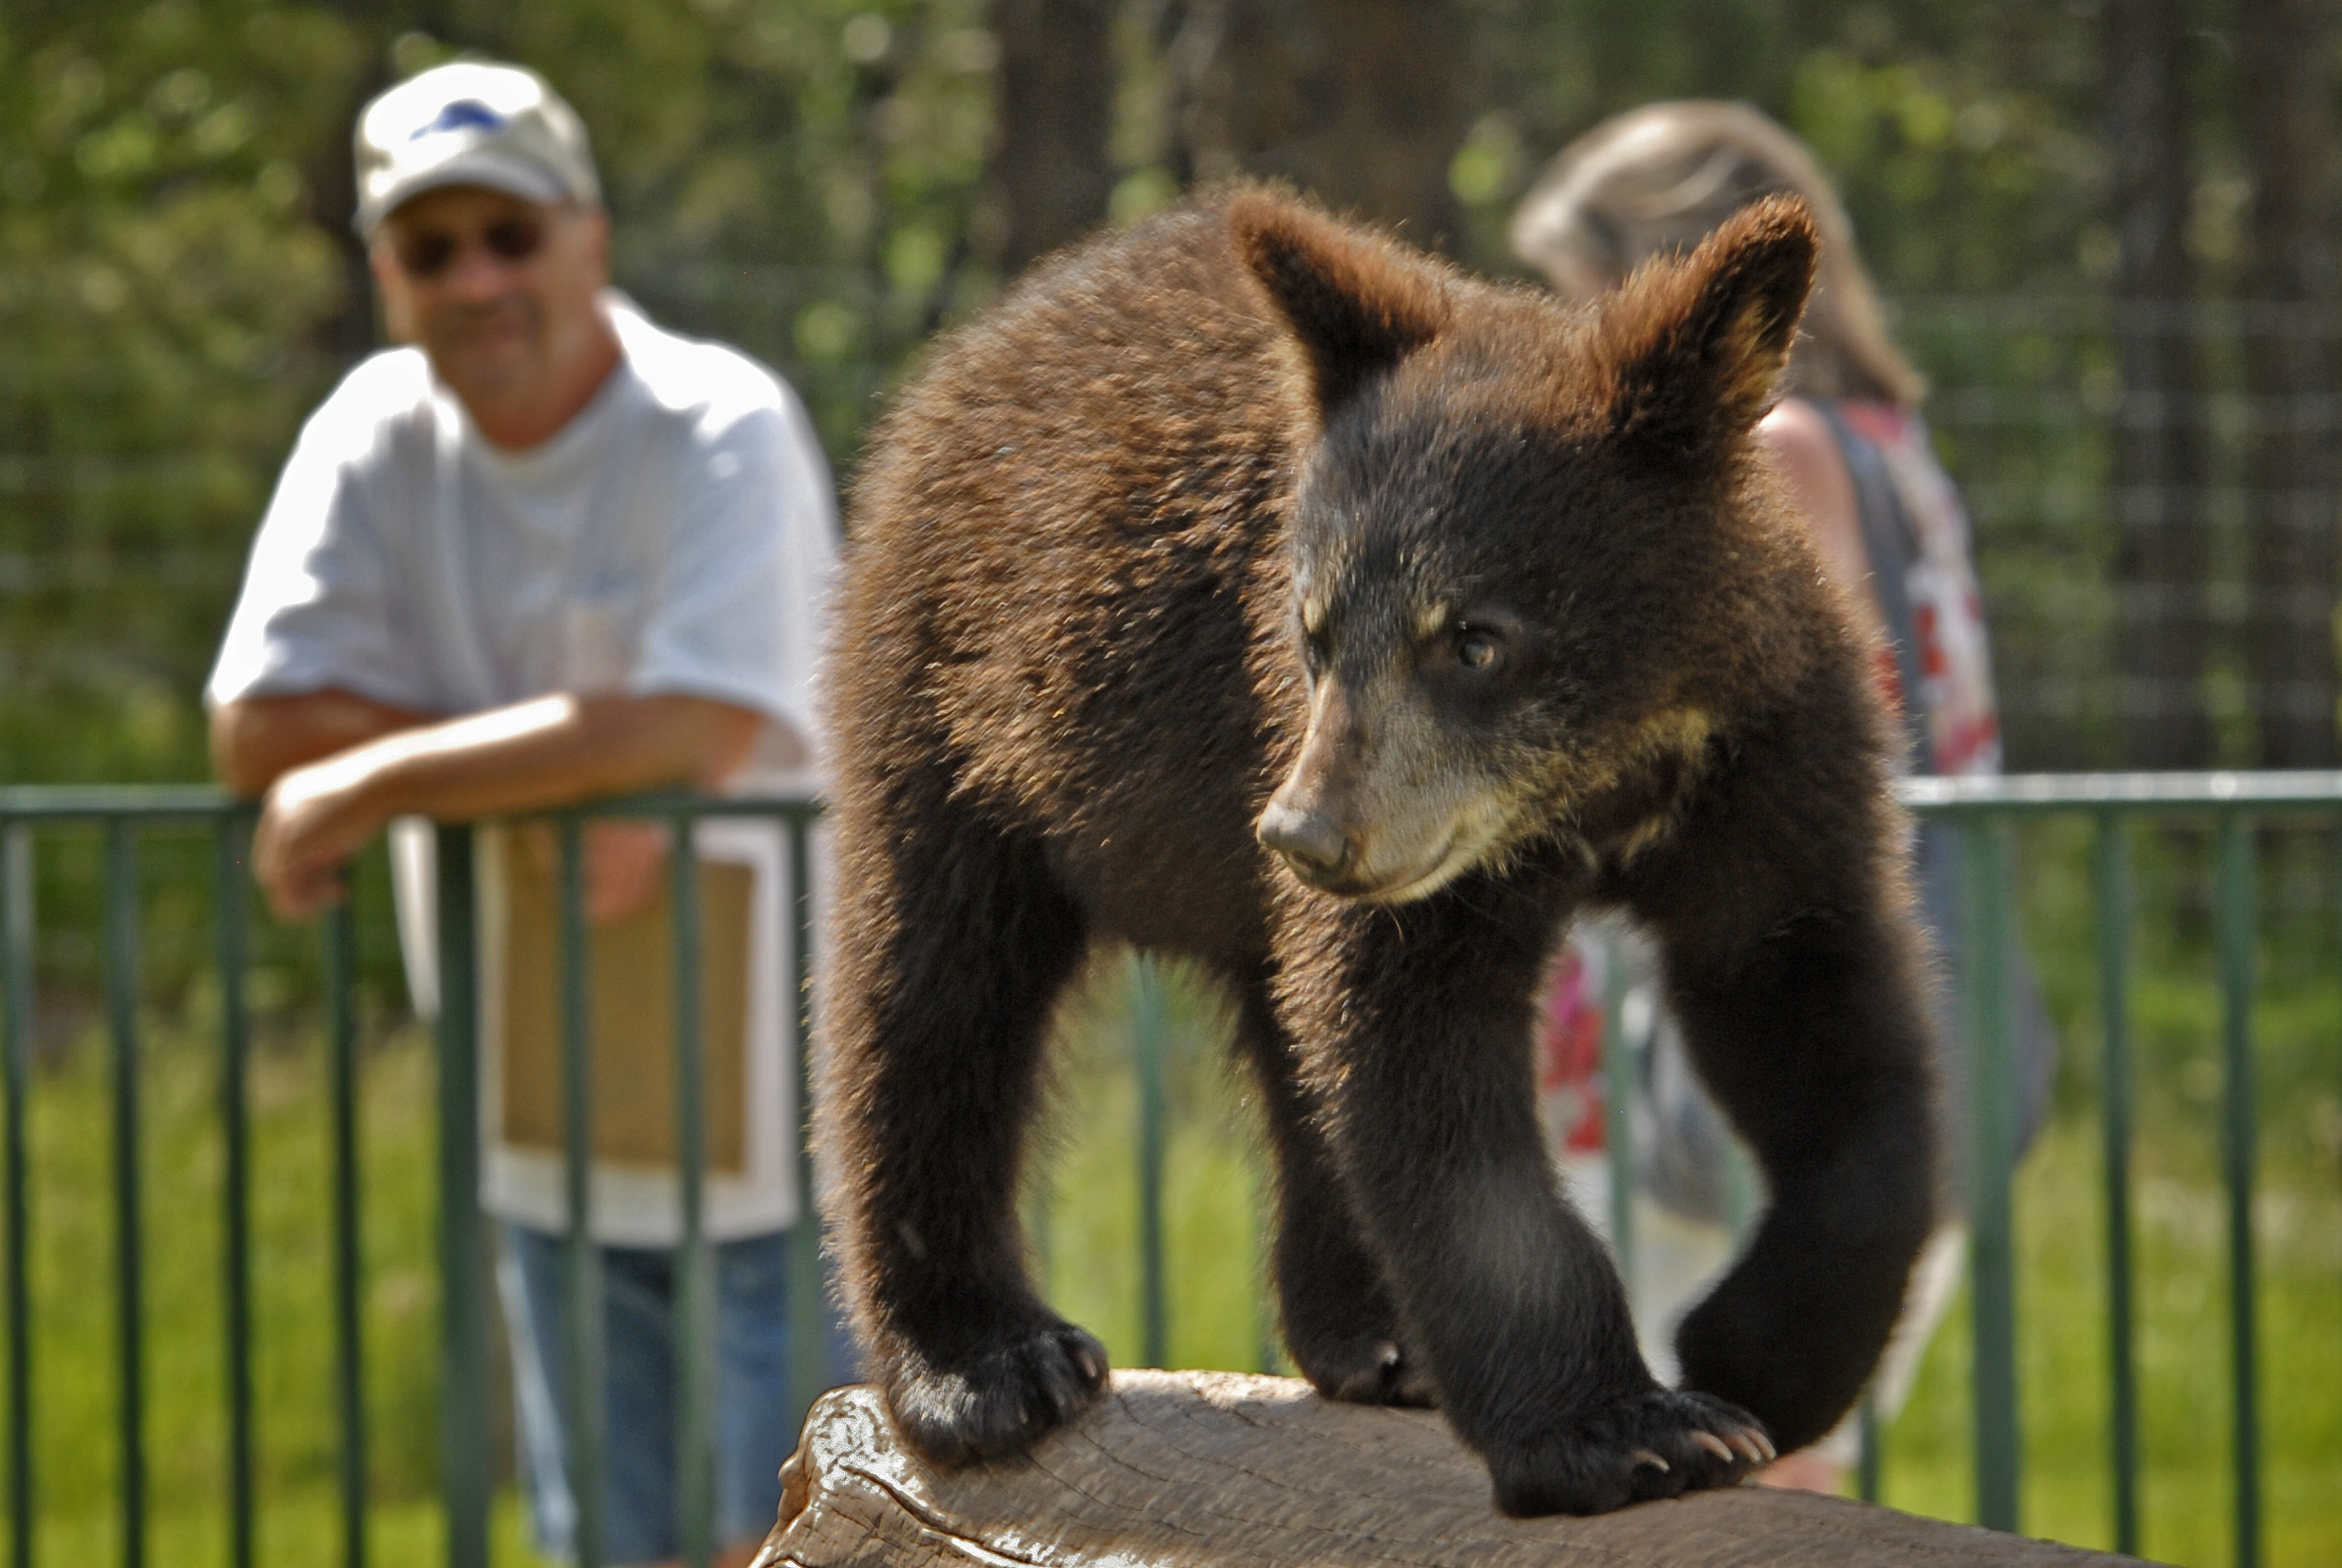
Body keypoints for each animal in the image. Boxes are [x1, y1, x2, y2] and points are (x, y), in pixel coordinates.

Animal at [816, 186, 1938, 1518]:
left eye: (1476, 637)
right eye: (1312, 630)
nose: (1305, 835)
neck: (1609, 779)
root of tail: (993, 335)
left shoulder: (1771, 765)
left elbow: (1817, 1014)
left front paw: (1761, 1356)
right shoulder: (1382, 820)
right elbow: (1424, 1063)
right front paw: (1628, 1428)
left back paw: (1376, 1337)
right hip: (962, 708)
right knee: (933, 994)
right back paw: (984, 1364)